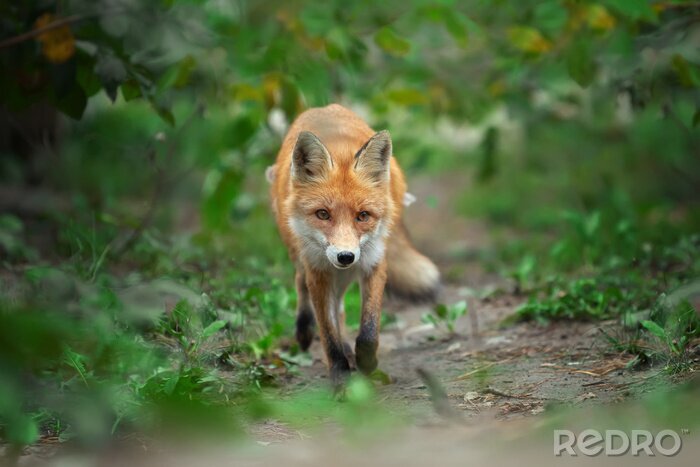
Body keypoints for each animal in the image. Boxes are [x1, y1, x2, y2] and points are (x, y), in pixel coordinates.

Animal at [268, 104, 440, 388]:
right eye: (323, 214)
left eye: (363, 216)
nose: (345, 256)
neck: (340, 150)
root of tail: (323, 107)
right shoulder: (318, 271)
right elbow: (328, 334)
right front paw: (339, 375)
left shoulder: (374, 263)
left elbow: (368, 330)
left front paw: (366, 363)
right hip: (303, 256)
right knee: (302, 285)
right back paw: (304, 330)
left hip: (346, 272)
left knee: (338, 309)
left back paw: (349, 351)